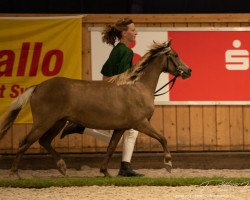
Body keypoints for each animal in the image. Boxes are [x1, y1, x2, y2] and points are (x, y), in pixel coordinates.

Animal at [0, 39, 191, 177]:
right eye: (175, 55)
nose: (188, 71)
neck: (138, 87)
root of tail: (38, 86)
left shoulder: (121, 127)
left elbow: (111, 148)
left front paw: (105, 172)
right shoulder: (140, 123)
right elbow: (162, 138)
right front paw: (168, 163)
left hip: (57, 122)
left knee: (44, 141)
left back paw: (62, 167)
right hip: (44, 122)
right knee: (24, 142)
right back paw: (14, 173)